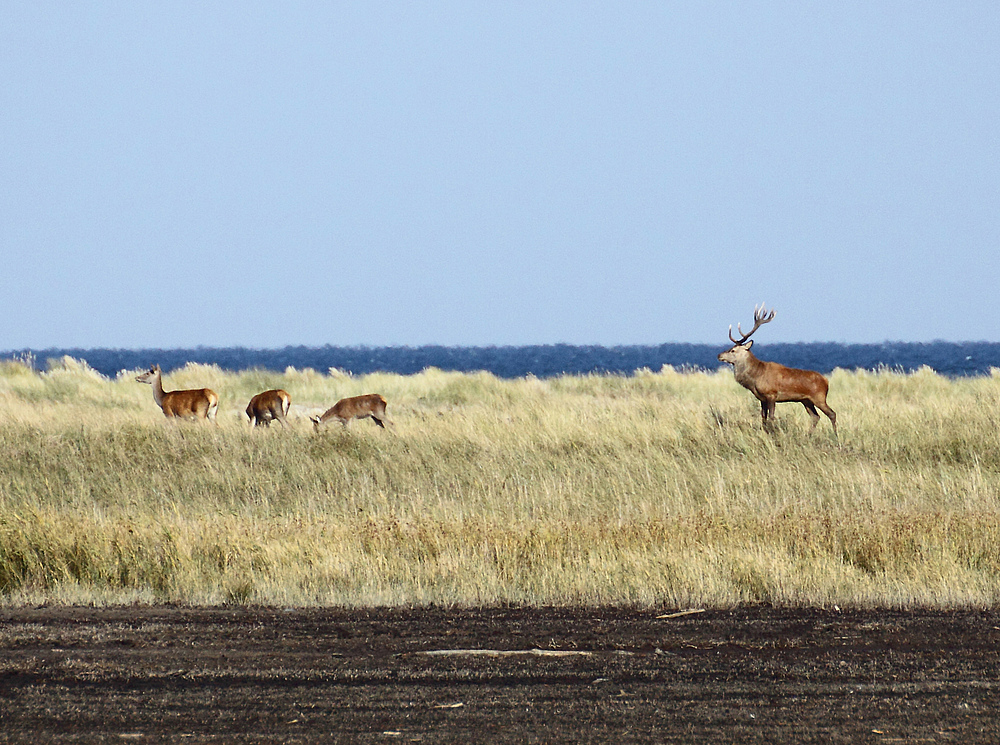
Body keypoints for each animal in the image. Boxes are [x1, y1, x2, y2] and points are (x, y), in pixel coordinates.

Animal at [720, 304, 836, 434]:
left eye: (733, 350)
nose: (719, 355)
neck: (755, 378)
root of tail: (826, 381)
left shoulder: (771, 394)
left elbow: (771, 417)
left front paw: (773, 433)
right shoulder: (762, 398)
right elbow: (763, 418)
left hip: (819, 397)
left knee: (832, 414)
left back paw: (835, 435)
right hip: (806, 400)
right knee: (815, 416)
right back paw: (809, 435)